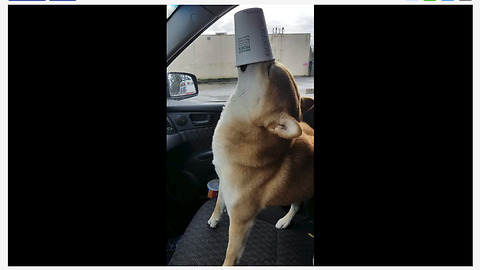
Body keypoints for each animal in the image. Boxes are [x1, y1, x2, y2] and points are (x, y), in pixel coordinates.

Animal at [207, 59, 316, 266]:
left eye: (269, 69)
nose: (271, 59)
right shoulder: (224, 183)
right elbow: (219, 203)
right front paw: (214, 218)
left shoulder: (240, 221)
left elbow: (230, 255)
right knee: (296, 205)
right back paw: (285, 220)